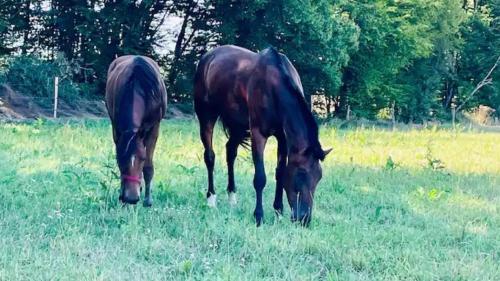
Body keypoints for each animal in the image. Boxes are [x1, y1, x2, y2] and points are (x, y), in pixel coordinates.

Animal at [105, 54, 168, 206]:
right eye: (119, 158)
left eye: (142, 158)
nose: (131, 198)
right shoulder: (117, 128)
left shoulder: (154, 129)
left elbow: (149, 167)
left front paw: (148, 201)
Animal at [195, 46, 332, 225]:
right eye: (301, 173)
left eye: (319, 176)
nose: (304, 219)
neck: (274, 86)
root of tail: (207, 57)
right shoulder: (258, 134)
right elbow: (260, 177)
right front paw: (258, 216)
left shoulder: (283, 138)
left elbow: (280, 173)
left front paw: (278, 211)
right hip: (206, 116)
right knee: (210, 157)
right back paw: (211, 199)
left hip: (237, 126)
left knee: (230, 152)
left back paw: (232, 197)